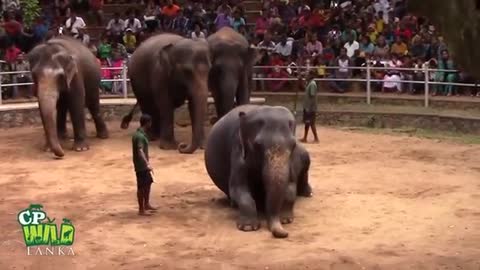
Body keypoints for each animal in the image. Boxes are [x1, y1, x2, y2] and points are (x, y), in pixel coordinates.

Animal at [204, 105, 314, 238]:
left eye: (293, 145)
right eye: (258, 145)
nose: (286, 234)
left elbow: (291, 187)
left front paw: (286, 220)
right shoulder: (237, 151)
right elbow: (238, 188)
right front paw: (248, 228)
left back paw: (308, 194)